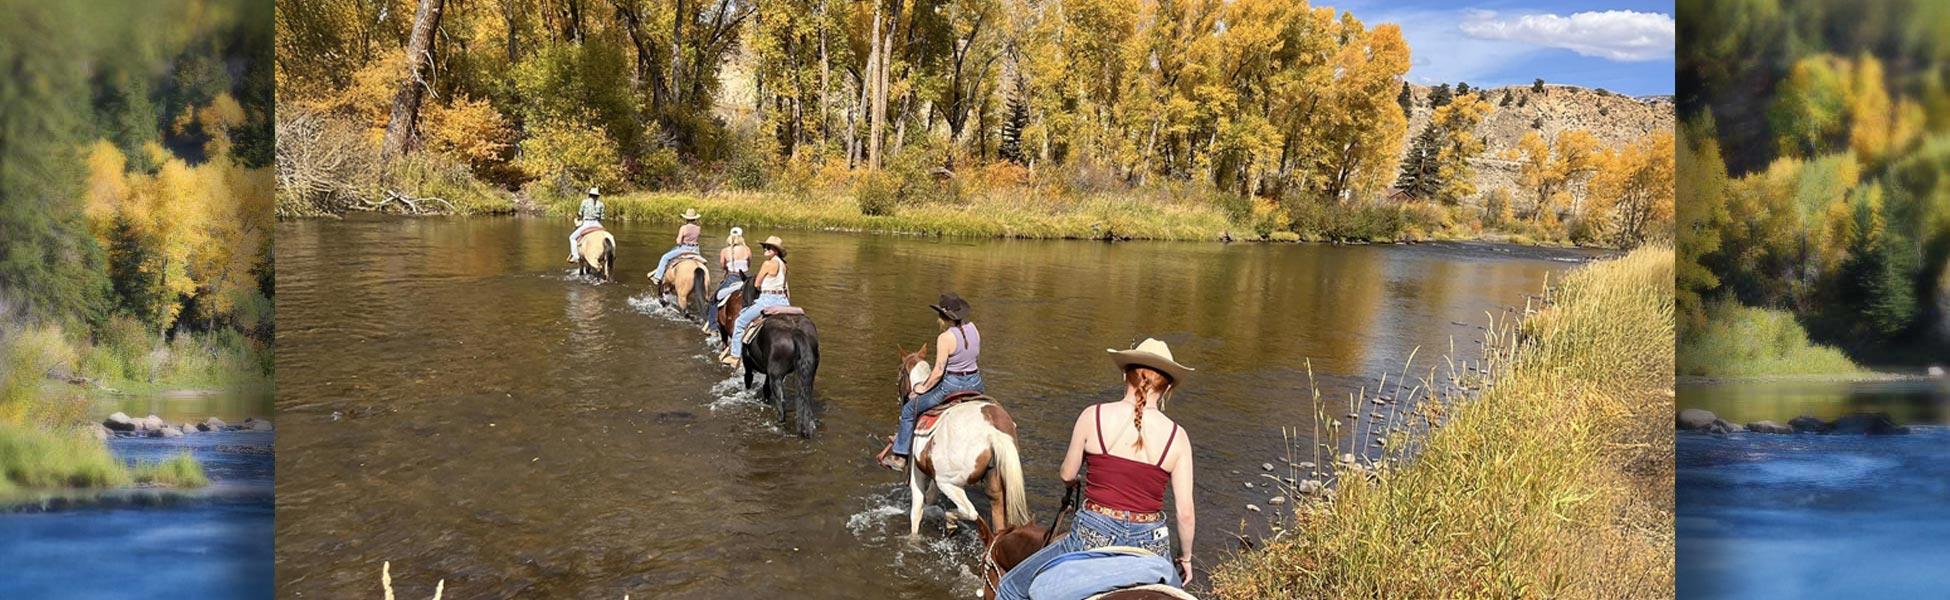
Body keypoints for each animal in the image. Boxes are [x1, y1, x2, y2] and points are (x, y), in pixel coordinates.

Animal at [733, 303, 819, 436]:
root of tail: (795, 331)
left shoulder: (749, 366)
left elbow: (748, 380)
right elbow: (766, 389)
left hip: (776, 377)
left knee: (781, 401)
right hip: (807, 376)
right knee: (806, 399)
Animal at [893, 346, 1029, 537]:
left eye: (899, 372)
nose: (901, 400)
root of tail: (992, 432)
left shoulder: (916, 471)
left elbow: (917, 510)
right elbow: (931, 496)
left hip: (949, 482)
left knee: (970, 512)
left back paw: (950, 519)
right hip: (995, 484)